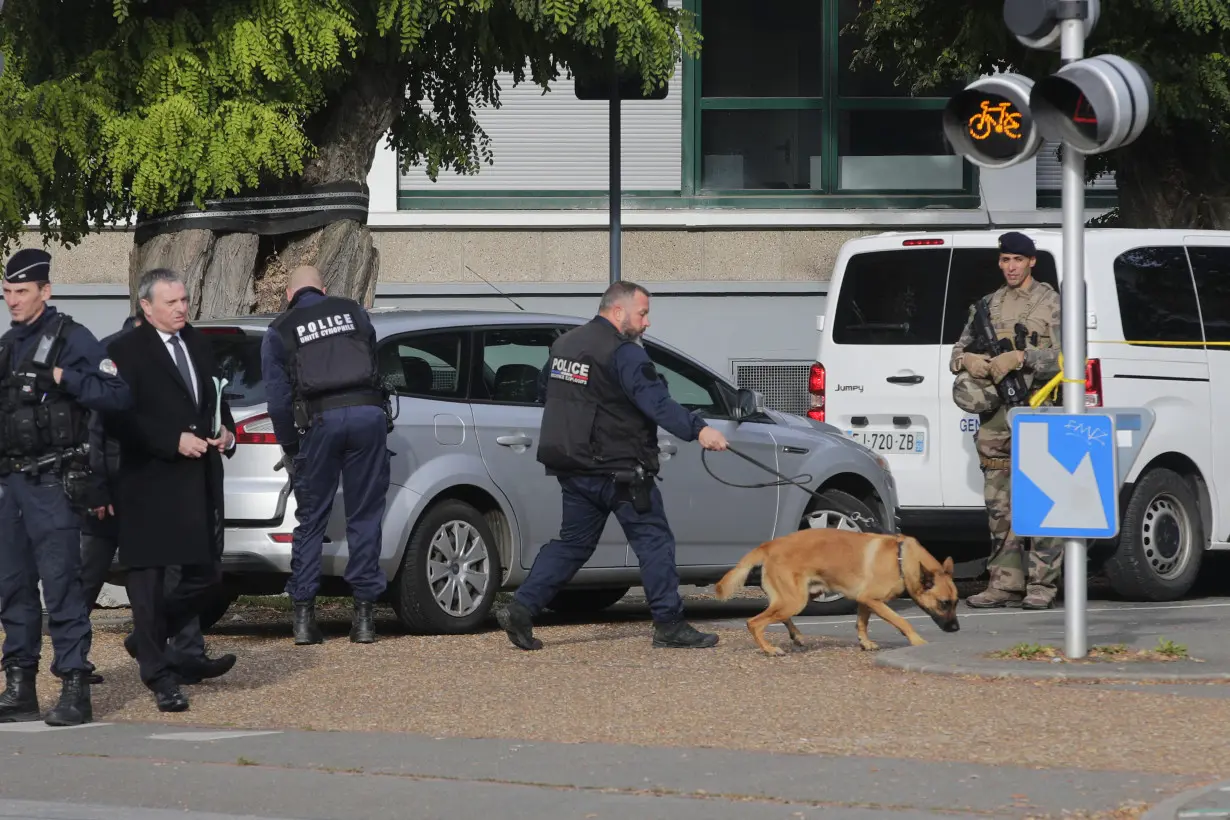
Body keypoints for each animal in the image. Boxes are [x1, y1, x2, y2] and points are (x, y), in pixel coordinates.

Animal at [713, 528, 959, 658]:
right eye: (943, 603)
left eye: (956, 602)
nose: (956, 629)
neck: (900, 559)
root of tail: (770, 545)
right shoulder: (873, 599)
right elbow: (901, 621)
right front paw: (917, 641)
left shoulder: (864, 601)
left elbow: (861, 623)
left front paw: (865, 643)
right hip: (795, 600)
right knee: (754, 622)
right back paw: (770, 649)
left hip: (800, 597)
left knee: (778, 616)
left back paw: (797, 636)